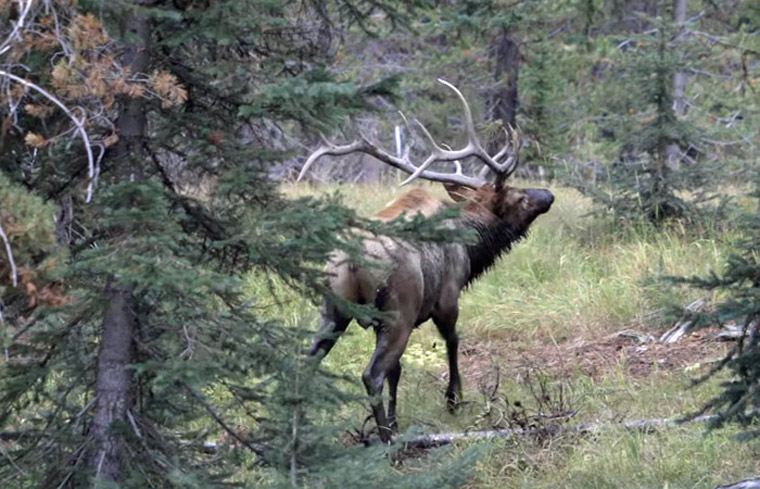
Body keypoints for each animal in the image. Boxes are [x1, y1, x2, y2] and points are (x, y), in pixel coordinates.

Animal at [299, 79, 554, 443]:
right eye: (520, 196)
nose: (548, 194)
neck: (471, 244)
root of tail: (349, 261)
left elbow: (398, 371)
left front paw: (397, 420)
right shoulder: (448, 296)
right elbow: (453, 340)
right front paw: (453, 399)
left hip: (332, 310)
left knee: (306, 364)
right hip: (397, 311)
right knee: (371, 374)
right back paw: (387, 442)